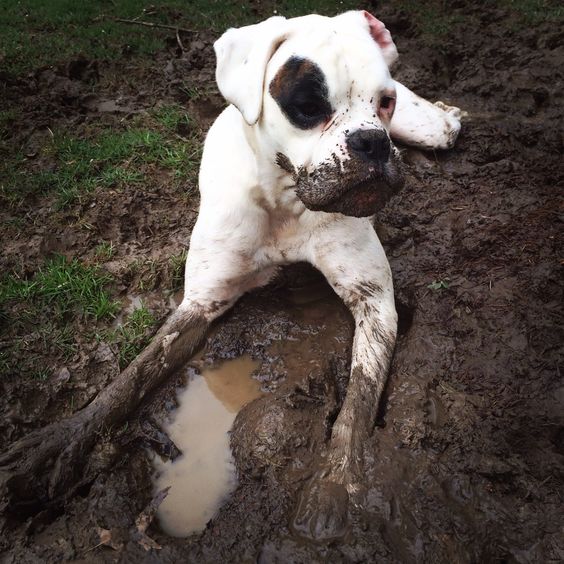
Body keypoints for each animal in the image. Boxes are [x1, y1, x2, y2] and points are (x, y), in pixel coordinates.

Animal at [178, 8, 460, 536]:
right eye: (307, 107)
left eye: (384, 102)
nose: (373, 141)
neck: (287, 202)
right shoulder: (199, 304)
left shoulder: (375, 304)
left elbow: (357, 404)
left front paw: (333, 486)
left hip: (429, 129)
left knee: (443, 128)